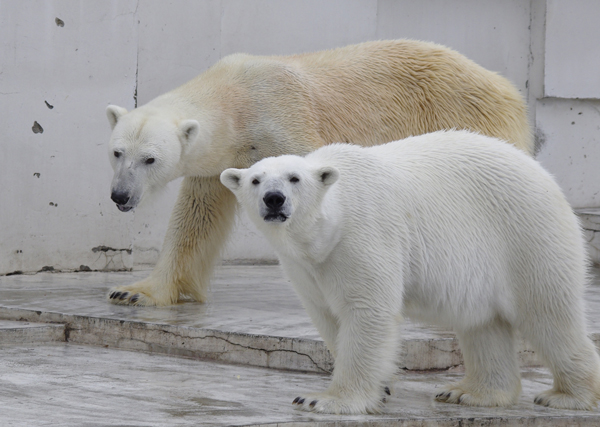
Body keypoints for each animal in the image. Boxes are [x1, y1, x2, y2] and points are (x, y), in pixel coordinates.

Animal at [105, 39, 532, 308]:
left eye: (150, 159)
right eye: (117, 152)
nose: (120, 196)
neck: (238, 101)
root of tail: (506, 86)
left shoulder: (283, 122)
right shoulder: (219, 160)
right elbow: (195, 219)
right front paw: (135, 292)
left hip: (466, 119)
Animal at [220, 130, 600, 414]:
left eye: (294, 178)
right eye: (255, 180)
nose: (274, 198)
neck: (327, 229)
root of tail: (544, 175)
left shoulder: (364, 235)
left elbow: (367, 310)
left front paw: (324, 400)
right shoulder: (306, 266)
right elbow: (327, 316)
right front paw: (381, 386)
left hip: (524, 234)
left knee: (548, 314)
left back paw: (568, 396)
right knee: (483, 324)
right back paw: (469, 392)